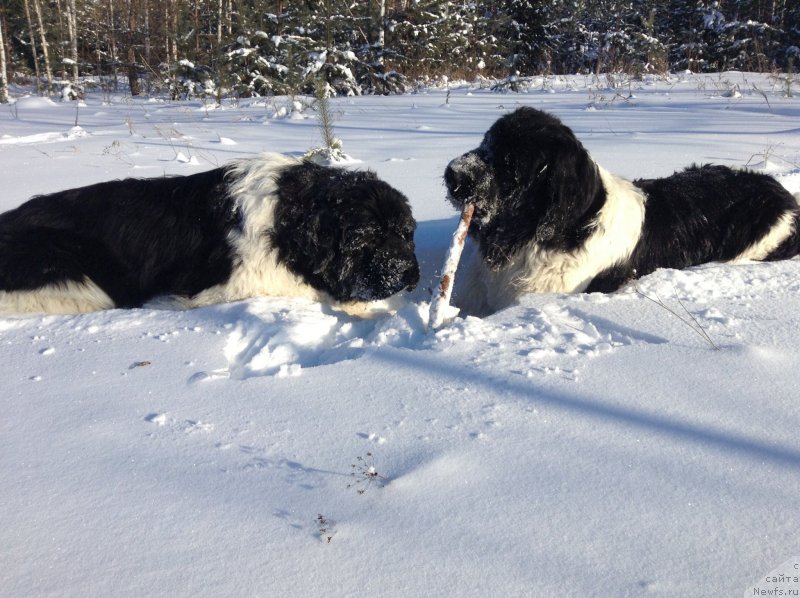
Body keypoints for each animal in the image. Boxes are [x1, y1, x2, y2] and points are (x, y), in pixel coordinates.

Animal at [0, 152, 422, 316]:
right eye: (366, 237)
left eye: (406, 233)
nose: (408, 274)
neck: (287, 219)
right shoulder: (226, 285)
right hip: (70, 274)